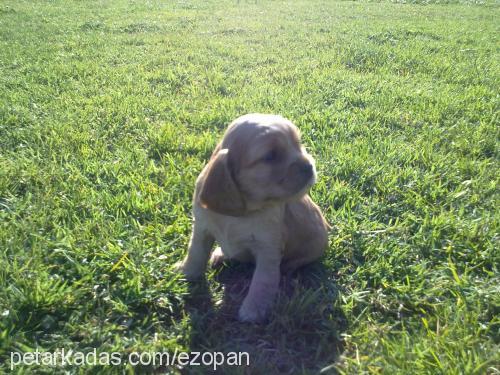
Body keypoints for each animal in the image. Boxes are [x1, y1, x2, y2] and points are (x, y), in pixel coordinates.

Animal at [175, 114, 328, 324]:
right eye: (270, 156)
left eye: (298, 144)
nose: (309, 166)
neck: (242, 212)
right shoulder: (201, 228)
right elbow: (195, 253)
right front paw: (186, 272)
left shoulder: (268, 249)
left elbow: (262, 281)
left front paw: (254, 309)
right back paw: (220, 255)